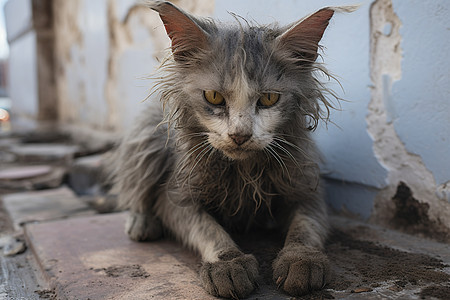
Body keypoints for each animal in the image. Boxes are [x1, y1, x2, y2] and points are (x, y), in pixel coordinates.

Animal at [113, 1, 348, 298]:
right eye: (213, 97)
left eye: (269, 98)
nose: (239, 135)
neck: (244, 171)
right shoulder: (175, 195)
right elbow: (208, 229)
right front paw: (228, 264)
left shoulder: (307, 189)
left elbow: (305, 227)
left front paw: (301, 261)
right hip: (147, 137)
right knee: (136, 190)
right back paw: (141, 223)